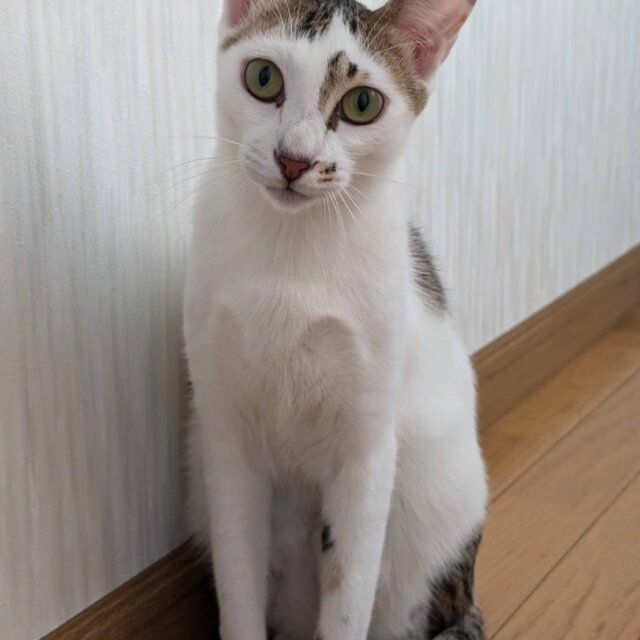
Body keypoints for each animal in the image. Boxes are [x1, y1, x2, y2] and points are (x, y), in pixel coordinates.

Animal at [183, 0, 487, 638]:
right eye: (263, 77)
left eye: (362, 103)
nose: (294, 159)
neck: (293, 251)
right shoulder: (225, 436)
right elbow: (238, 584)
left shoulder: (368, 450)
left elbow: (349, 595)